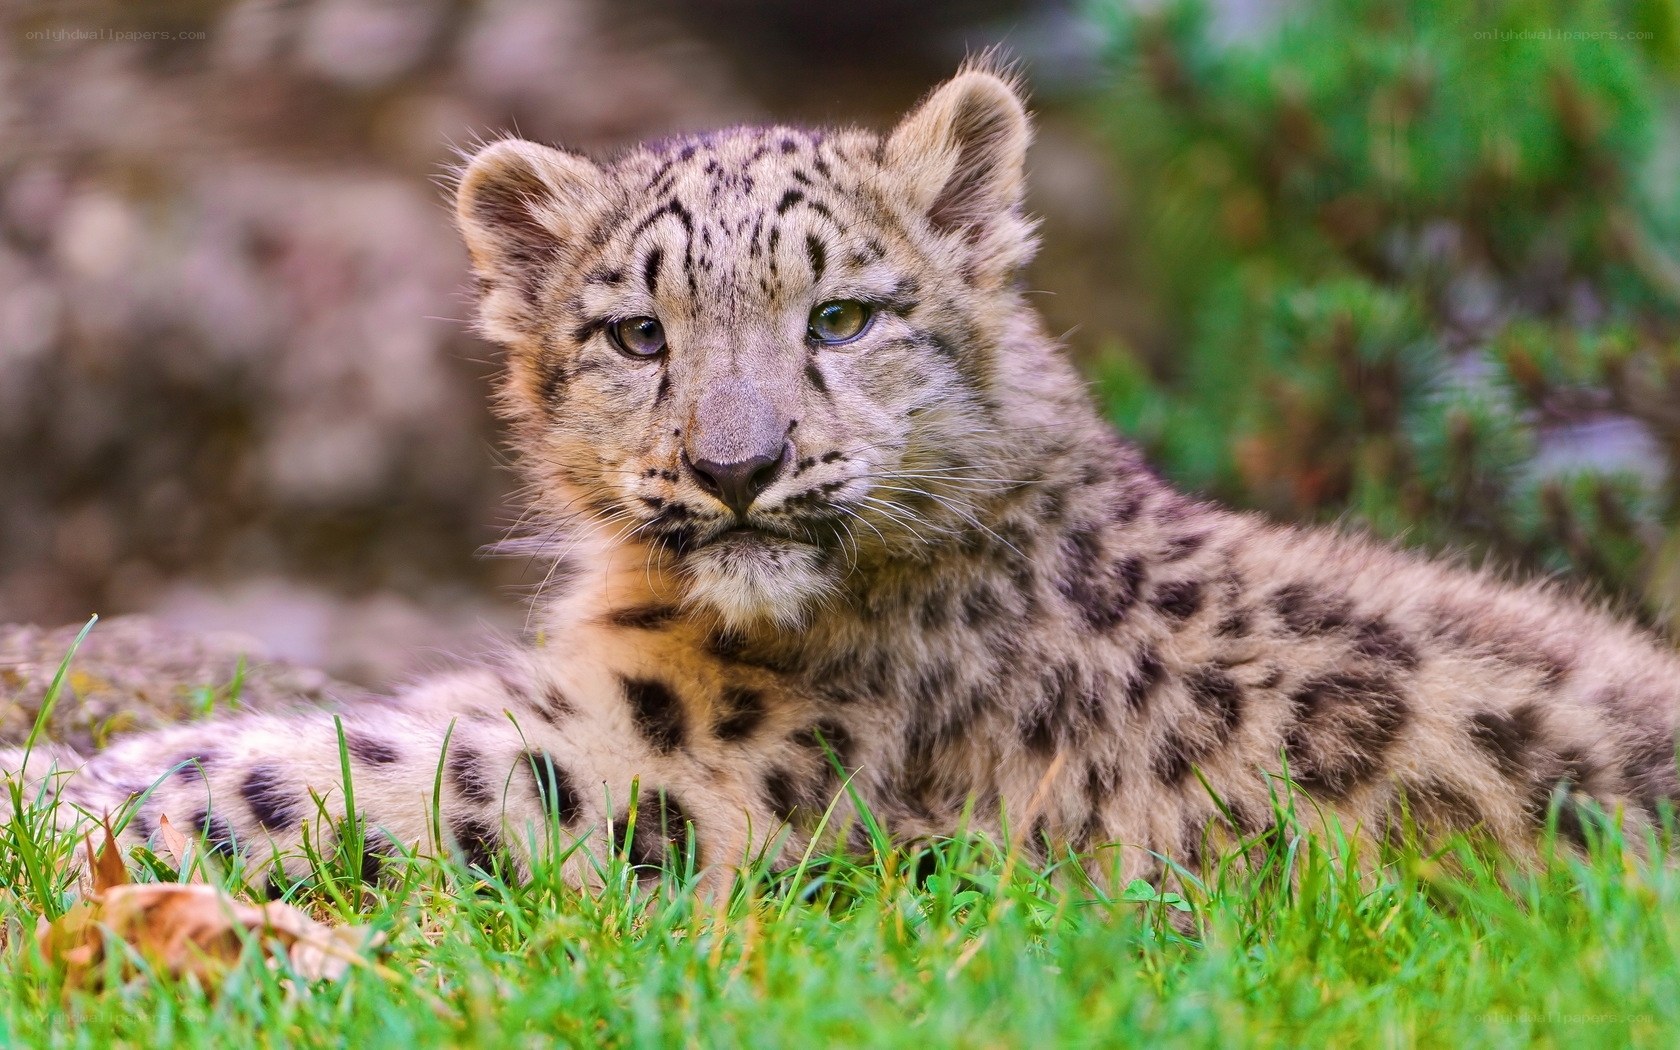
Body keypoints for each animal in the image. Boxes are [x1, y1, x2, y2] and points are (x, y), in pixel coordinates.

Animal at [7, 61, 1680, 896]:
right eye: (637, 331)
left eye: (842, 317)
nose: (740, 465)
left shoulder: (659, 766)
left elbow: (318, 770)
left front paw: (53, 793)